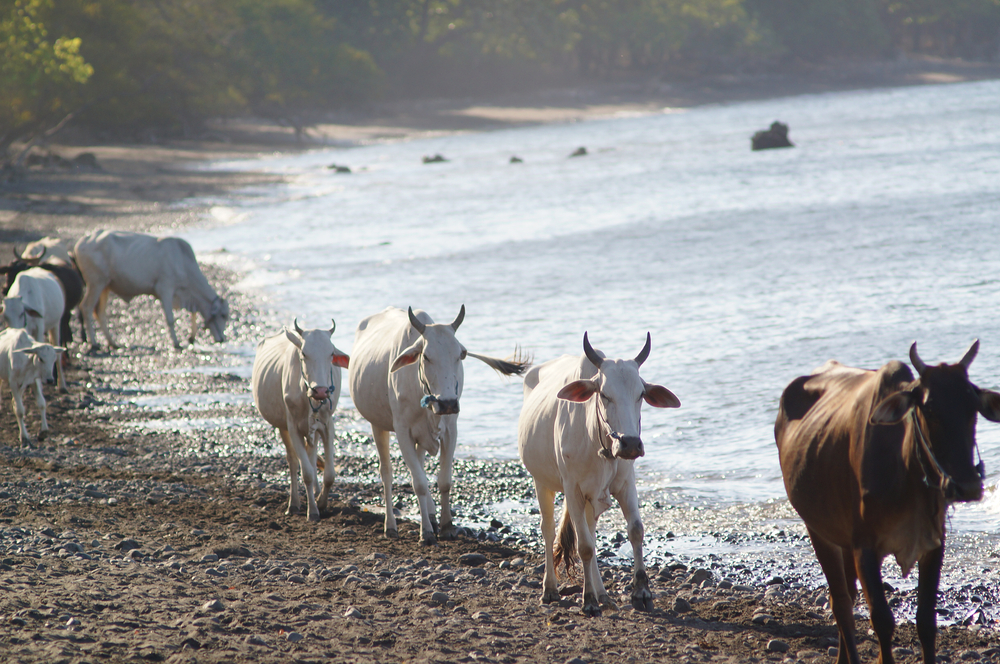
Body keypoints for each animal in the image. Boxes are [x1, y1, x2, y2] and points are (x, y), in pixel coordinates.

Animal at [75, 230, 229, 352]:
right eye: (223, 315)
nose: (222, 339)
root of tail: (82, 241)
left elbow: (194, 313)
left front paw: (191, 337)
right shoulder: (165, 289)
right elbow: (170, 319)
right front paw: (176, 343)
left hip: (105, 286)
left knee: (100, 313)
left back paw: (113, 343)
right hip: (96, 283)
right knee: (87, 307)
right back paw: (94, 343)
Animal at [252, 320, 350, 520]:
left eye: (331, 353)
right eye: (304, 353)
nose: (321, 391)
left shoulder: (327, 425)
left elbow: (329, 474)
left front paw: (322, 502)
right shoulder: (293, 427)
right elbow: (307, 473)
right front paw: (312, 511)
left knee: (311, 457)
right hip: (282, 427)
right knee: (293, 461)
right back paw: (294, 504)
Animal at [348, 306, 532, 544]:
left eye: (460, 354)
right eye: (426, 356)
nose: (448, 403)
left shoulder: (450, 430)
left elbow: (443, 481)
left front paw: (445, 525)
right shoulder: (402, 431)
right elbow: (419, 483)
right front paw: (426, 532)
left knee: (418, 464)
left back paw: (432, 515)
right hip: (376, 424)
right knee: (386, 472)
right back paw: (391, 525)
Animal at [516, 332, 680, 616]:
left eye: (640, 394)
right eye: (604, 394)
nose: (630, 443)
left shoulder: (625, 483)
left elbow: (635, 530)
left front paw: (641, 592)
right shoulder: (572, 489)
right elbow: (583, 547)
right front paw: (588, 599)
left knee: (590, 533)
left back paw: (603, 594)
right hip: (542, 482)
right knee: (549, 530)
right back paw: (551, 589)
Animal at [772, 342, 1000, 664]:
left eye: (973, 408)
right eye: (929, 409)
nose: (966, 486)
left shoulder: (933, 544)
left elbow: (926, 621)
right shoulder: (865, 547)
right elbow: (882, 620)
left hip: (843, 540)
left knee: (846, 595)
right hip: (818, 530)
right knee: (841, 603)